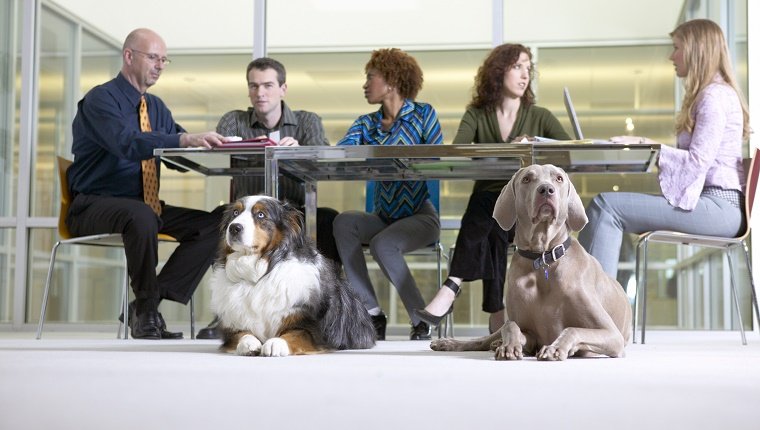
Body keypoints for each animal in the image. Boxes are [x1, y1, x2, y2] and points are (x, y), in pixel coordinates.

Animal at [209, 195, 376, 356]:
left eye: (261, 214)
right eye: (235, 213)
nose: (234, 227)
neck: (259, 275)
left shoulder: (313, 329)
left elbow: (295, 334)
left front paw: (275, 343)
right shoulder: (232, 327)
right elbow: (241, 334)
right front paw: (249, 343)